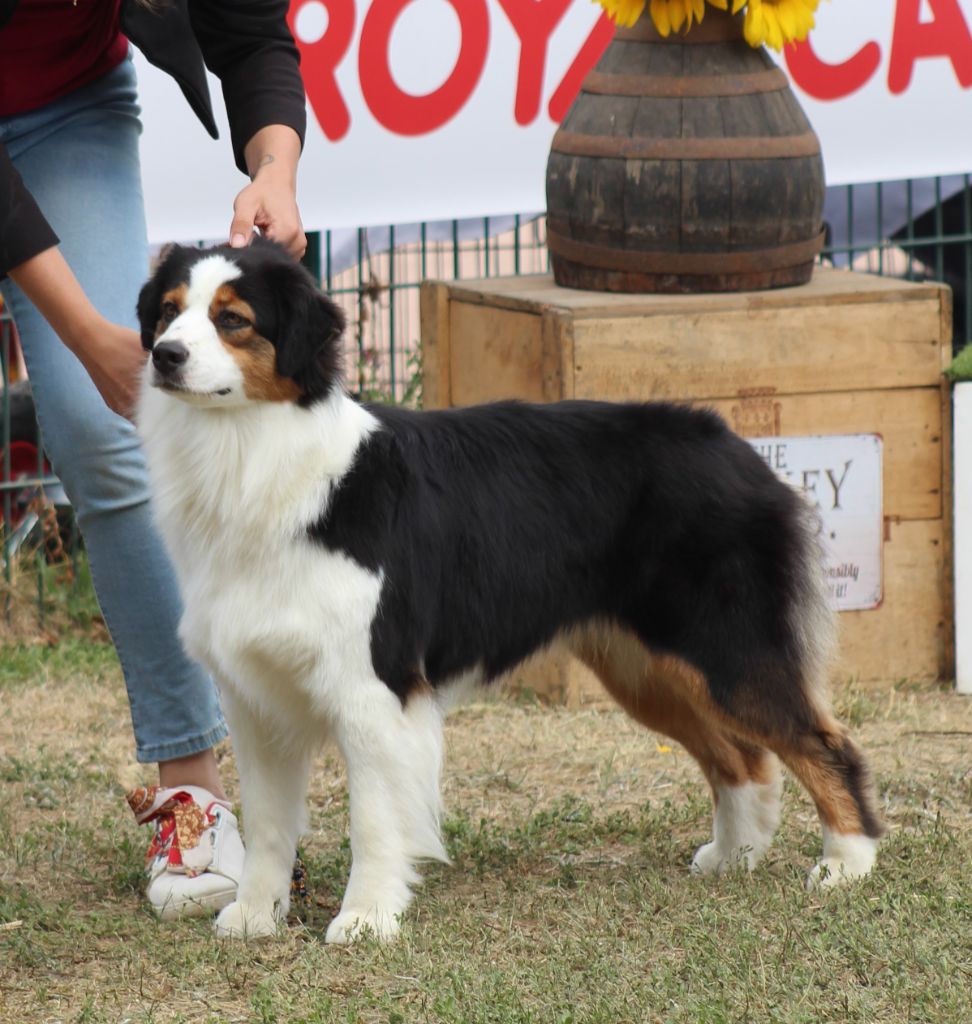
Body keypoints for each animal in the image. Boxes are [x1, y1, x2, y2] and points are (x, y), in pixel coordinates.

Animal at [133, 239, 884, 942]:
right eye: (168, 311)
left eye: (233, 319)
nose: (165, 356)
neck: (257, 458)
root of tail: (733, 442)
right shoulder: (255, 695)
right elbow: (266, 821)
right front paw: (254, 916)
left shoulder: (373, 686)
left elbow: (373, 818)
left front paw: (367, 918)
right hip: (648, 668)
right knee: (744, 758)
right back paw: (736, 855)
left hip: (726, 649)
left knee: (825, 744)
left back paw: (846, 863)